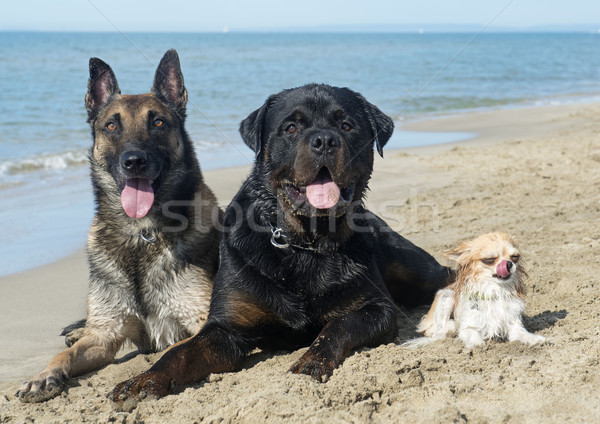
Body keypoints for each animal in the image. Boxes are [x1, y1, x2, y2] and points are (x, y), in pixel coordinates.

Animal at [110, 83, 452, 410]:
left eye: (346, 125)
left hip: (413, 269)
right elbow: (179, 353)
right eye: (290, 128)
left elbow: (339, 324)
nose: (324, 140)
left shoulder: (376, 308)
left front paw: (312, 360)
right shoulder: (226, 328)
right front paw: (142, 382)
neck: (305, 243)